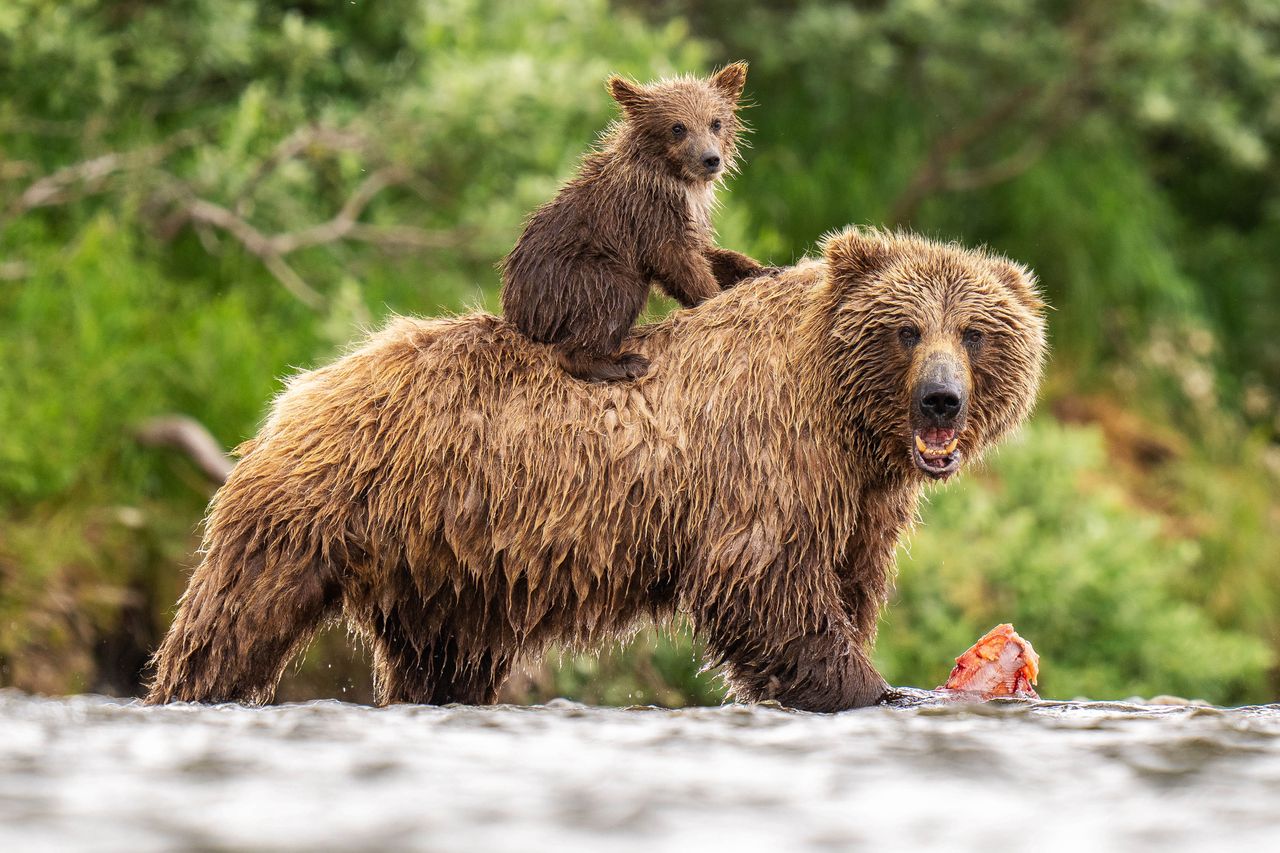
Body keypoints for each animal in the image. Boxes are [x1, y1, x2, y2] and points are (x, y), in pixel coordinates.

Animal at [147, 227, 1049, 712]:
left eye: (974, 331)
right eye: (906, 329)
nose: (941, 400)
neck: (843, 416)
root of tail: (299, 386)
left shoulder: (862, 501)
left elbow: (848, 583)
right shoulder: (770, 465)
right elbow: (764, 586)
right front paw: (872, 686)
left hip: (445, 566)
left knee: (442, 660)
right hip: (317, 512)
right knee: (233, 619)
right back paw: (186, 689)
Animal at [501, 64, 768, 384]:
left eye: (715, 122)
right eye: (677, 127)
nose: (710, 159)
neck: (674, 180)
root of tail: (518, 315)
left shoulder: (690, 217)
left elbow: (709, 253)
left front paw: (760, 270)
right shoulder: (646, 215)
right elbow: (678, 262)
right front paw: (712, 298)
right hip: (574, 277)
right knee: (611, 299)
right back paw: (624, 363)